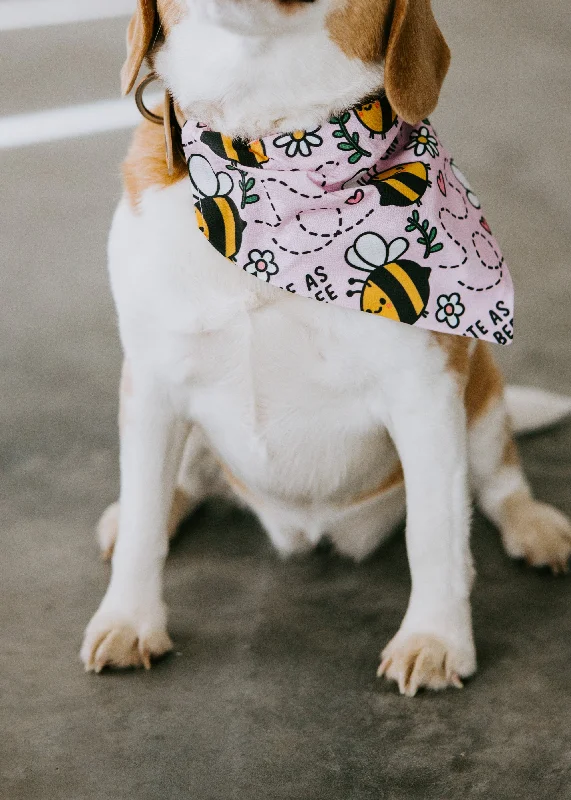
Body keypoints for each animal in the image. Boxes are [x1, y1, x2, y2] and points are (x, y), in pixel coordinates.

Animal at [80, 0, 571, 692]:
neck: (266, 159)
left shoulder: (425, 396)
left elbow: (435, 533)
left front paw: (436, 638)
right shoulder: (151, 384)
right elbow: (147, 517)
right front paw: (129, 619)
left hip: (481, 401)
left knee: (499, 485)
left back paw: (535, 528)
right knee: (183, 485)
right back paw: (130, 514)